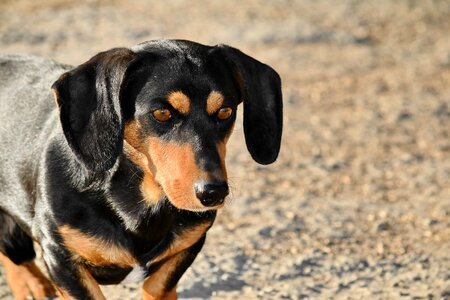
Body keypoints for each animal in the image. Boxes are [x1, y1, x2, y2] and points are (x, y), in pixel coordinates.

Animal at [0, 38, 282, 298]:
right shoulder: (60, 257)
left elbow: (157, 285)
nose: (213, 193)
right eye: (162, 113)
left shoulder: (188, 245)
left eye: (225, 111)